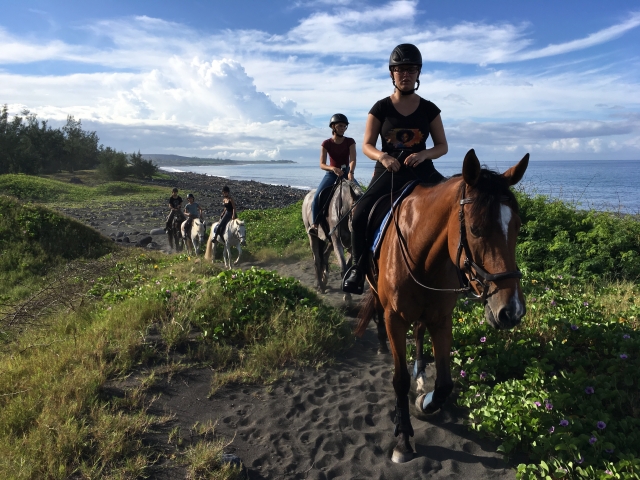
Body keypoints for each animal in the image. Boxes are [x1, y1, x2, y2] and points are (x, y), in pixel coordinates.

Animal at [355, 149, 529, 463]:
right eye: (475, 229)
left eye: (517, 226)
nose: (512, 311)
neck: (421, 253)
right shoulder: (395, 319)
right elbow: (399, 380)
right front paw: (403, 439)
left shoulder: (442, 318)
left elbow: (445, 384)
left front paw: (424, 401)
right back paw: (382, 344)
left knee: (419, 332)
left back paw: (421, 374)